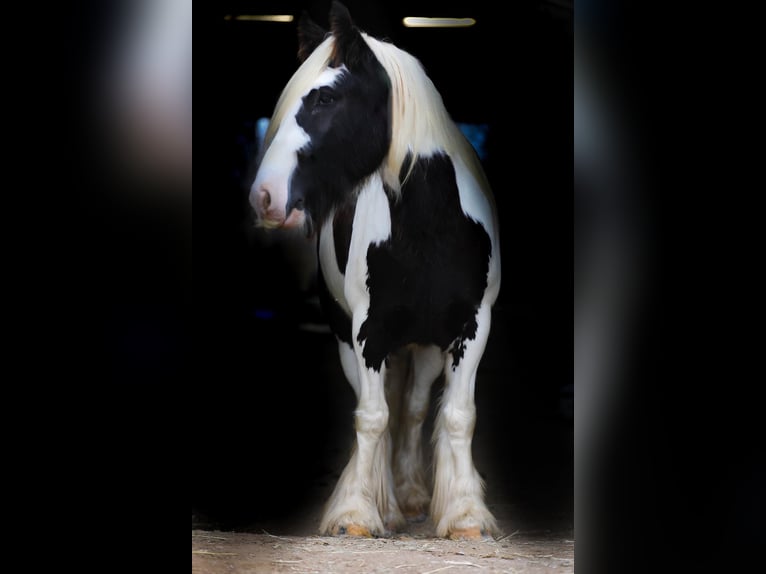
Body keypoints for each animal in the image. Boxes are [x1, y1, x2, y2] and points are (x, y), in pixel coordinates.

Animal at [252, 2, 504, 540]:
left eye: (326, 97)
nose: (264, 196)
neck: (430, 232)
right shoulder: (368, 330)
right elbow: (371, 416)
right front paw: (355, 514)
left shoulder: (472, 326)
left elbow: (456, 415)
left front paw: (465, 516)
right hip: (352, 336)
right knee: (383, 408)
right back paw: (385, 503)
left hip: (425, 343)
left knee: (411, 408)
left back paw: (409, 496)